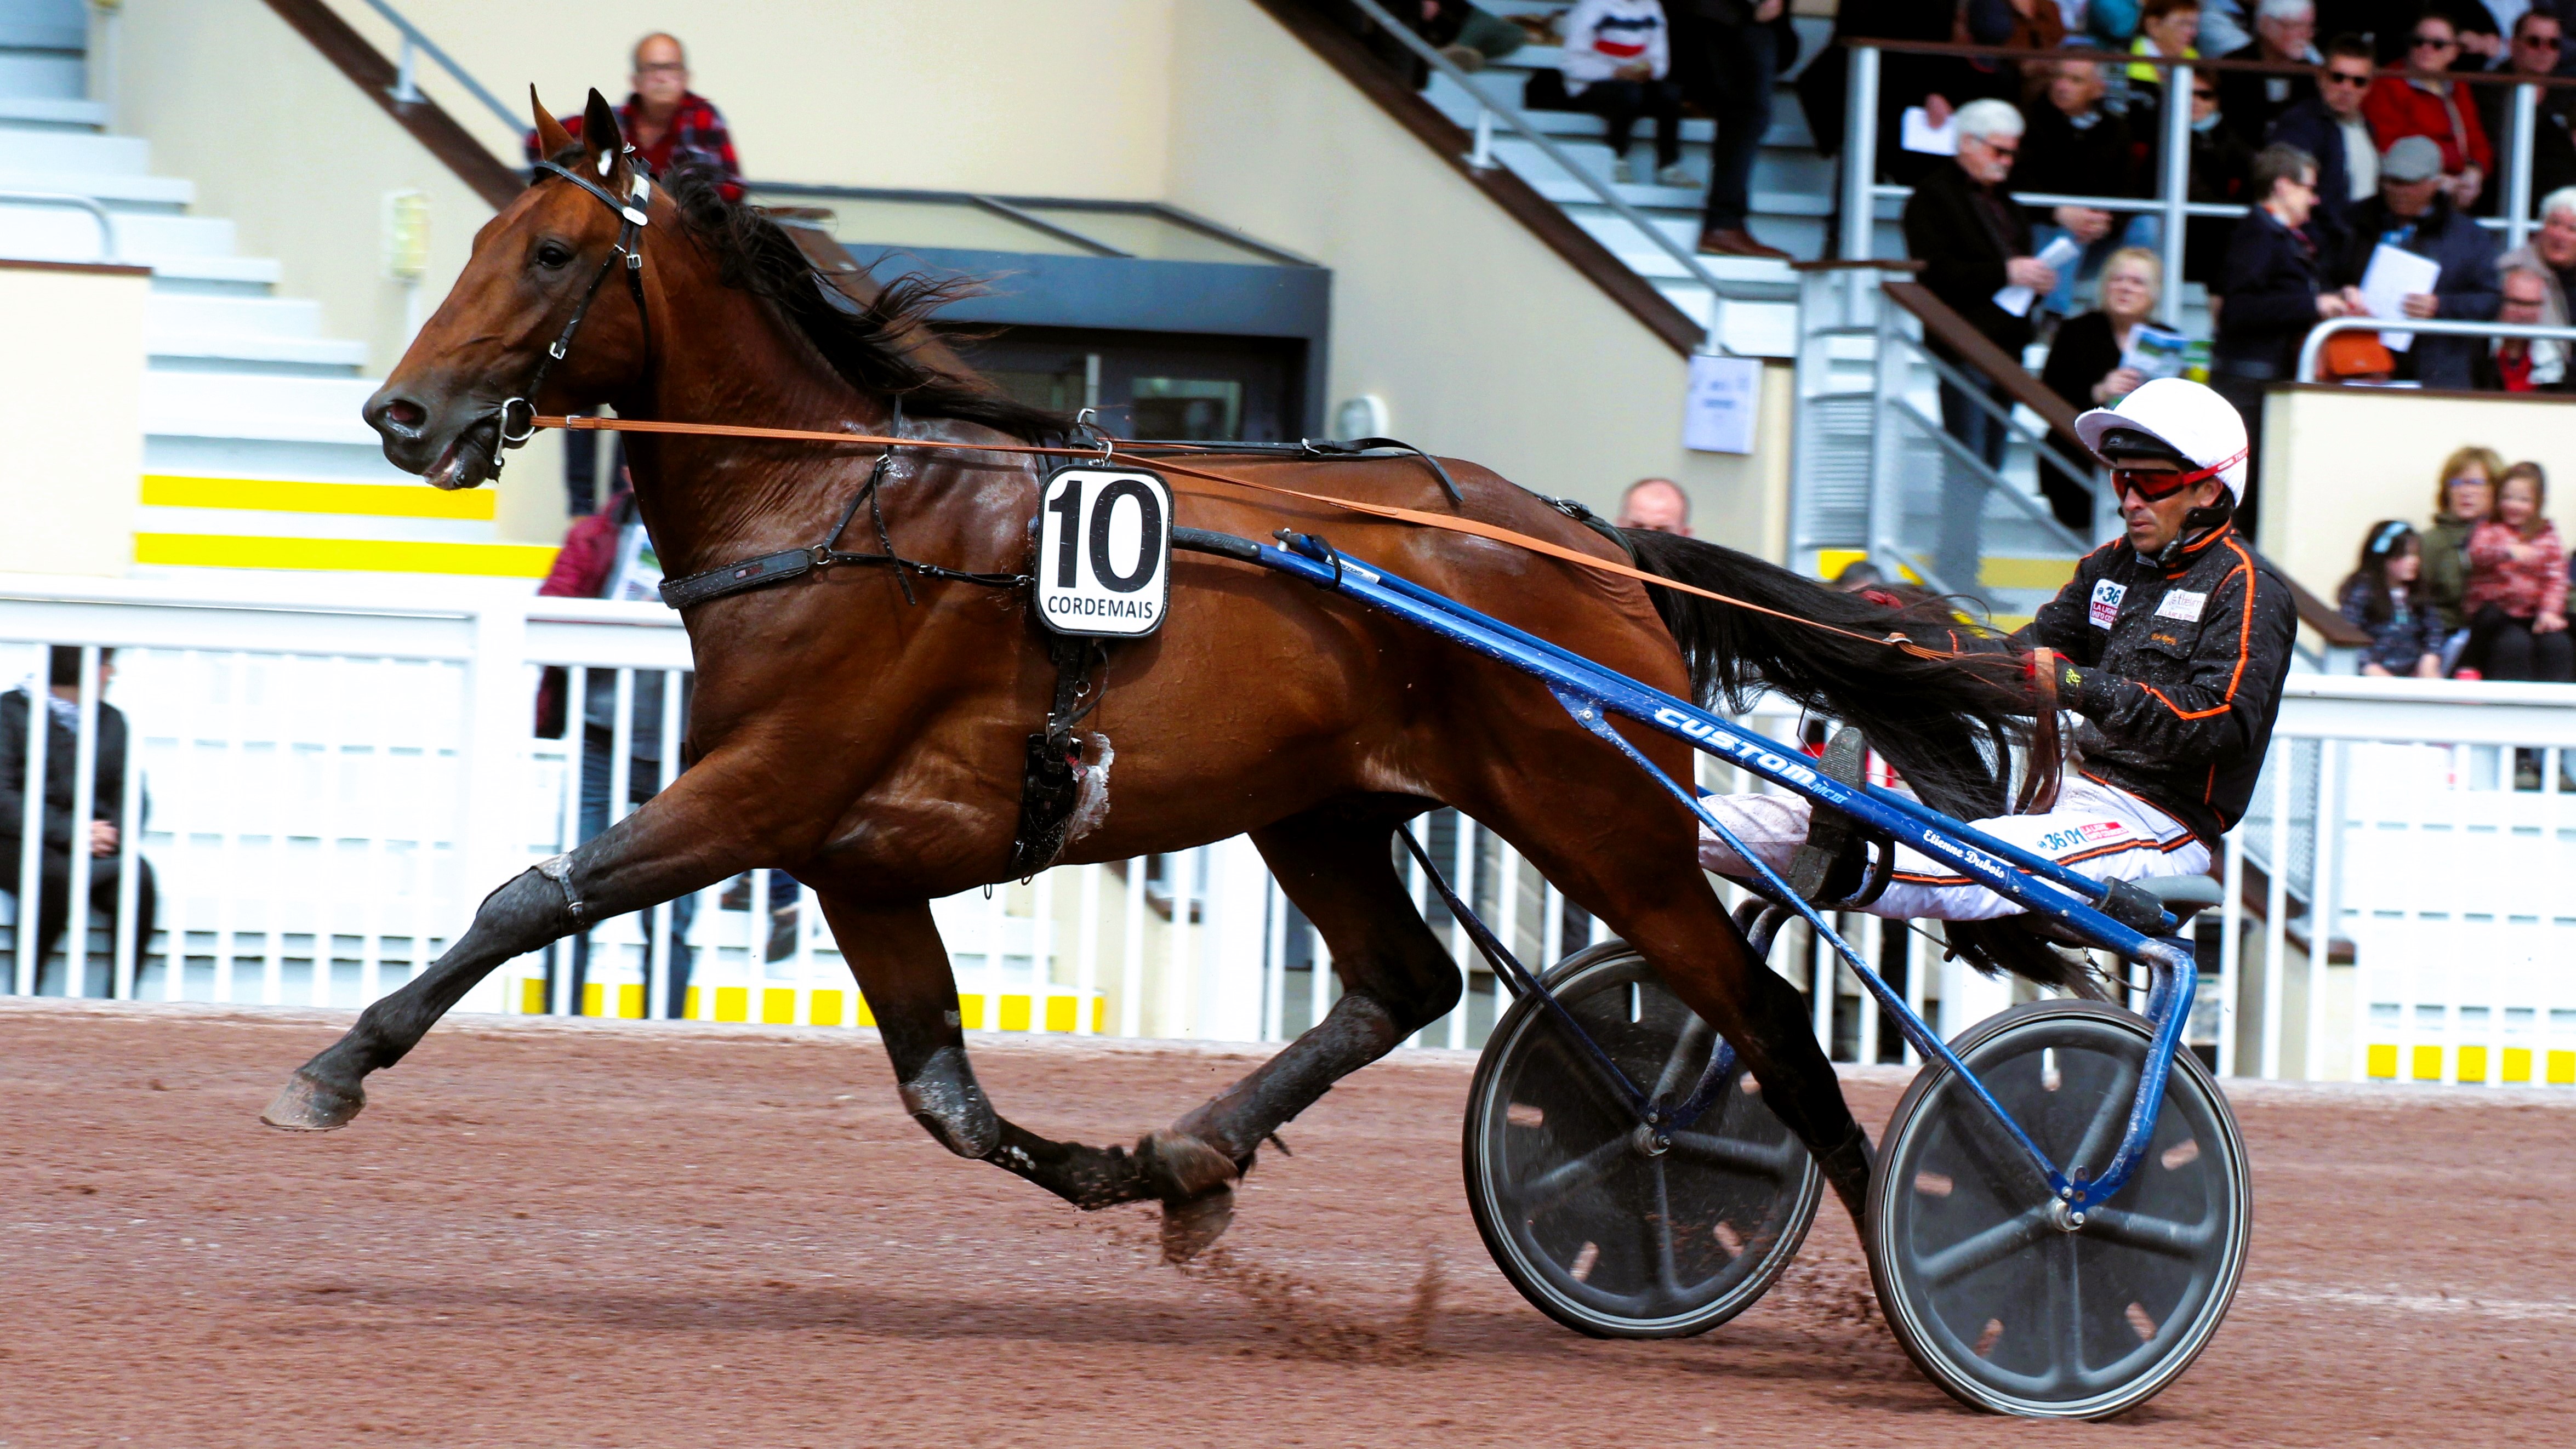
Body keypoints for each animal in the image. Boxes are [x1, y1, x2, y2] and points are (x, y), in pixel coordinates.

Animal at [261, 90, 2060, 1261]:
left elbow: (529, 895)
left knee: (1761, 1011)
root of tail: (1586, 535)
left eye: (559, 253)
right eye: (487, 235)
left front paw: (332, 1065)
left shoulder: (756, 796)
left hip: (1598, 815)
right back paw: (1209, 1138)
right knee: (1410, 981)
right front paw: (1137, 1172)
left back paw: (1938, 1261)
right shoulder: (855, 860)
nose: (403, 417)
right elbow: (945, 1094)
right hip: (1324, 807)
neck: (831, 511)